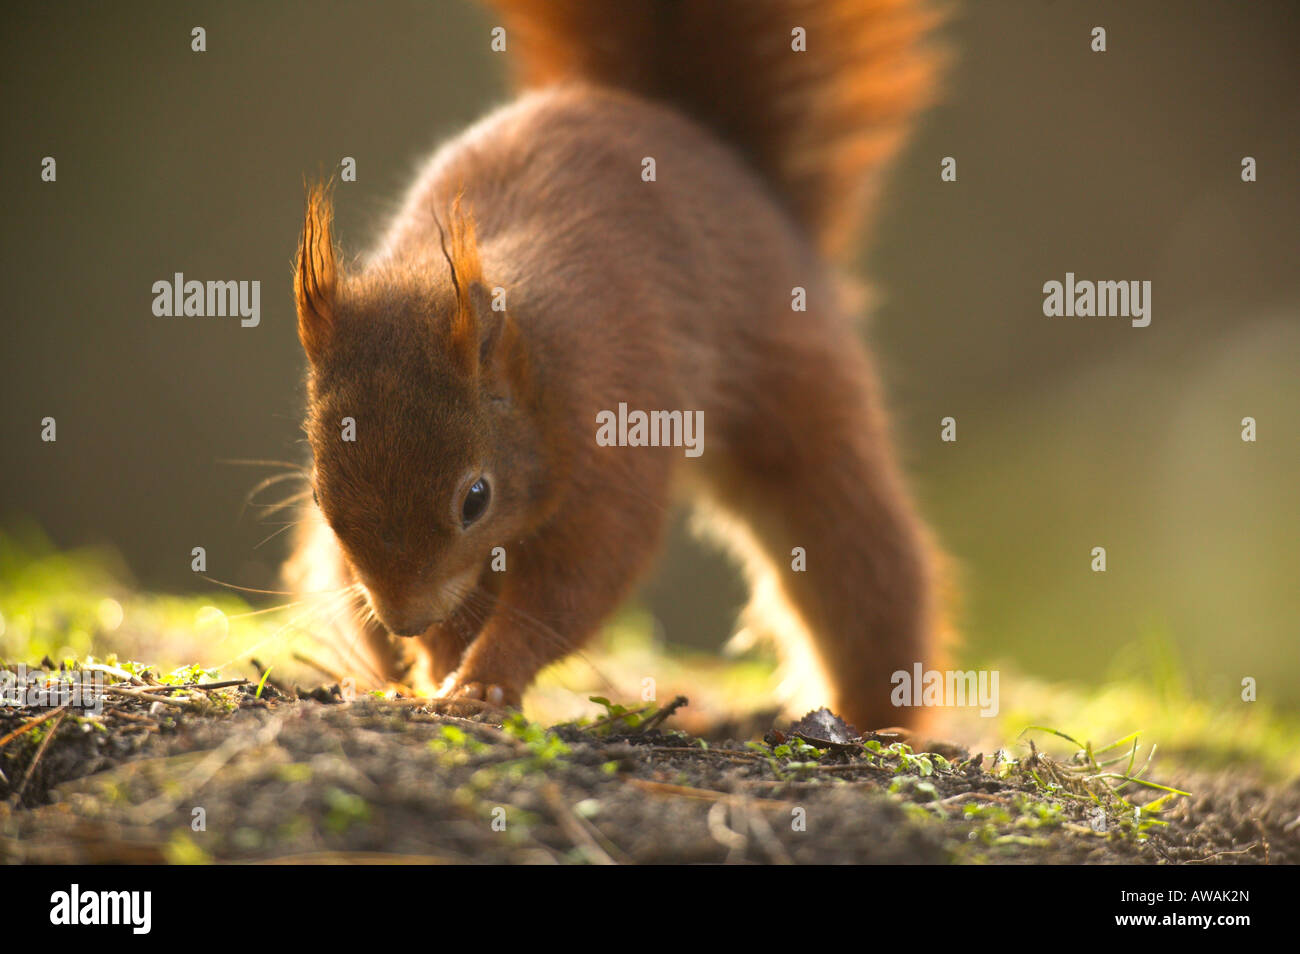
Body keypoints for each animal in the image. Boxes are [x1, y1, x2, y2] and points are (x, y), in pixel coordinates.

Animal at [284, 0, 947, 731]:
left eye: (475, 499)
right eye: (319, 495)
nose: (406, 619)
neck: (535, 367)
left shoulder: (612, 430)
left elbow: (577, 582)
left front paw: (481, 681)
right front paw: (439, 665)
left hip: (796, 388)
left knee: (859, 561)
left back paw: (873, 716)